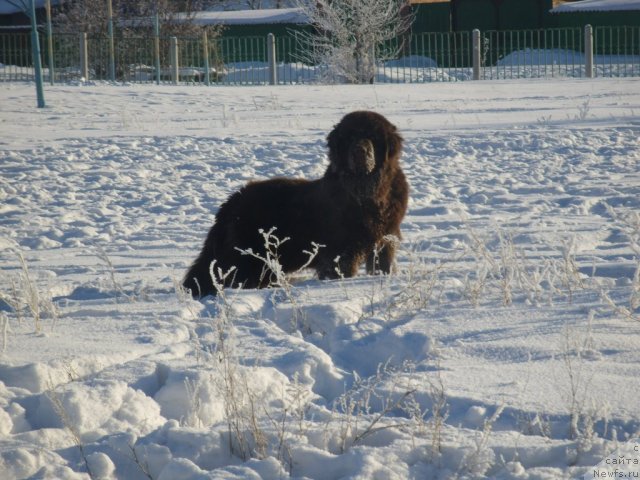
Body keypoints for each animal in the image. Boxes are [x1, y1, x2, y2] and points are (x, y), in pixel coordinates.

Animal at [182, 111, 408, 298]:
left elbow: (383, 265)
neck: (368, 193)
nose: (360, 150)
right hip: (250, 255)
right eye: (351, 137)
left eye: (373, 137)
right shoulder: (341, 250)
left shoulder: (384, 238)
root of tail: (231, 201)